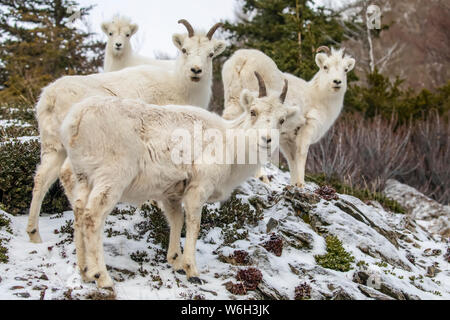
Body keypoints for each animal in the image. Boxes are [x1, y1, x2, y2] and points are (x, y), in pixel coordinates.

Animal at [26, 19, 227, 242]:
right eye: (184, 50)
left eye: (210, 54)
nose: (196, 70)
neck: (178, 86)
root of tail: (50, 97)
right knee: (67, 176)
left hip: (54, 146)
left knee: (41, 178)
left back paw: (34, 235)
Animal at [58, 73, 298, 288]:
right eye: (253, 112)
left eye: (281, 120)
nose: (267, 139)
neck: (230, 143)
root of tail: (76, 121)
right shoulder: (198, 188)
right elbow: (193, 224)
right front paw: (192, 270)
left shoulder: (171, 195)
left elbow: (176, 221)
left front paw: (175, 261)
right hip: (111, 179)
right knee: (92, 218)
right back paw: (103, 278)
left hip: (82, 180)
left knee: (79, 214)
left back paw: (85, 273)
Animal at [221, 47, 356, 188]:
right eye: (325, 66)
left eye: (345, 69)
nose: (337, 82)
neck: (318, 97)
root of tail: (242, 59)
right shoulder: (307, 129)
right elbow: (301, 155)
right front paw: (301, 184)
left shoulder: (287, 139)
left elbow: (291, 160)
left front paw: (294, 184)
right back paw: (262, 177)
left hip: (233, 102)